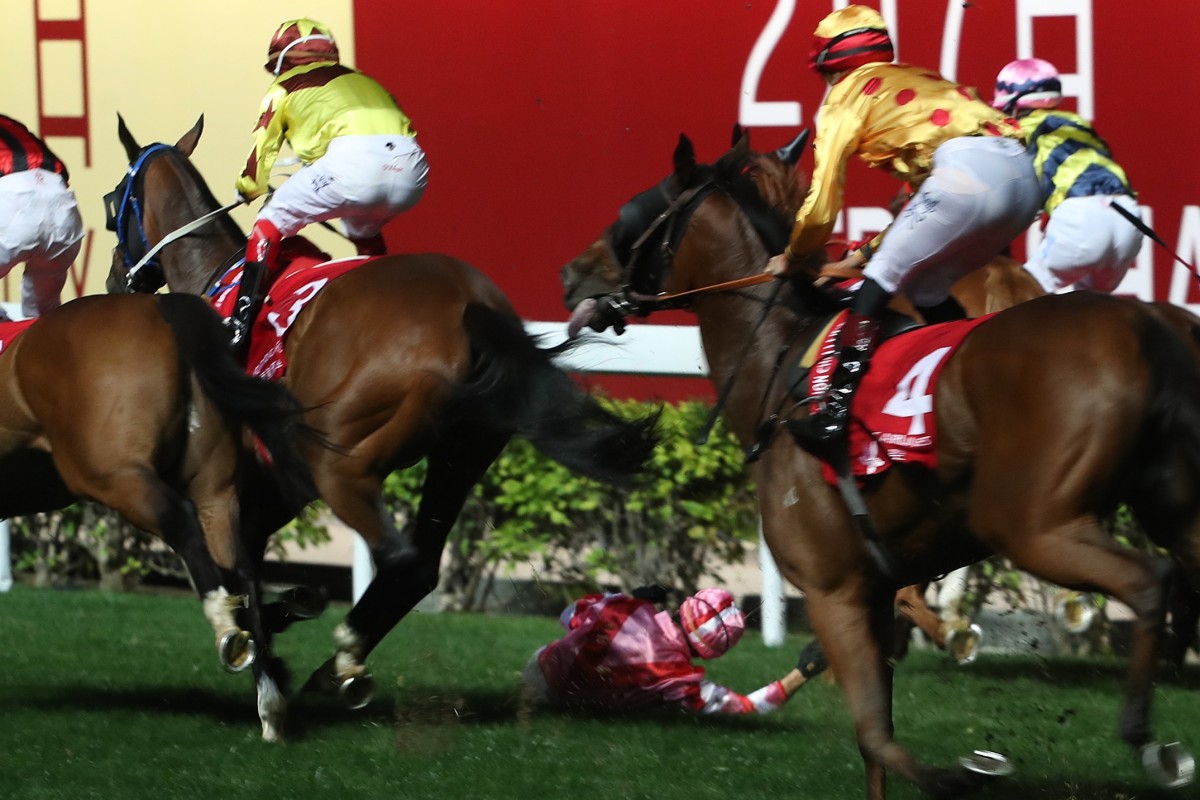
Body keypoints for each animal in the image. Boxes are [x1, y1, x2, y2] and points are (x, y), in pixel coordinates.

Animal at [0, 292, 316, 738]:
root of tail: (163, 305)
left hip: (117, 475)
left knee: (182, 521)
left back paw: (225, 627)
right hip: (213, 490)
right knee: (242, 569)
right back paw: (269, 704)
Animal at [105, 115, 657, 734]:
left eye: (112, 203)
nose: (115, 280)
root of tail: (472, 309)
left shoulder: (236, 485)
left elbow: (239, 576)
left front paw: (269, 674)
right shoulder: (274, 489)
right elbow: (249, 575)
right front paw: (284, 626)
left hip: (340, 465)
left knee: (401, 559)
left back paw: (344, 656)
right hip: (460, 455)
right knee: (422, 567)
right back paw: (335, 663)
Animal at [561, 134, 1200, 796]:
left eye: (631, 214)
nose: (571, 273)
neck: (778, 368)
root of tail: (1150, 323)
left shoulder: (832, 590)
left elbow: (876, 736)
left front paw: (967, 771)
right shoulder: (876, 588)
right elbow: (876, 741)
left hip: (1034, 527)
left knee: (1149, 580)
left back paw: (1146, 737)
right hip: (1173, 512)